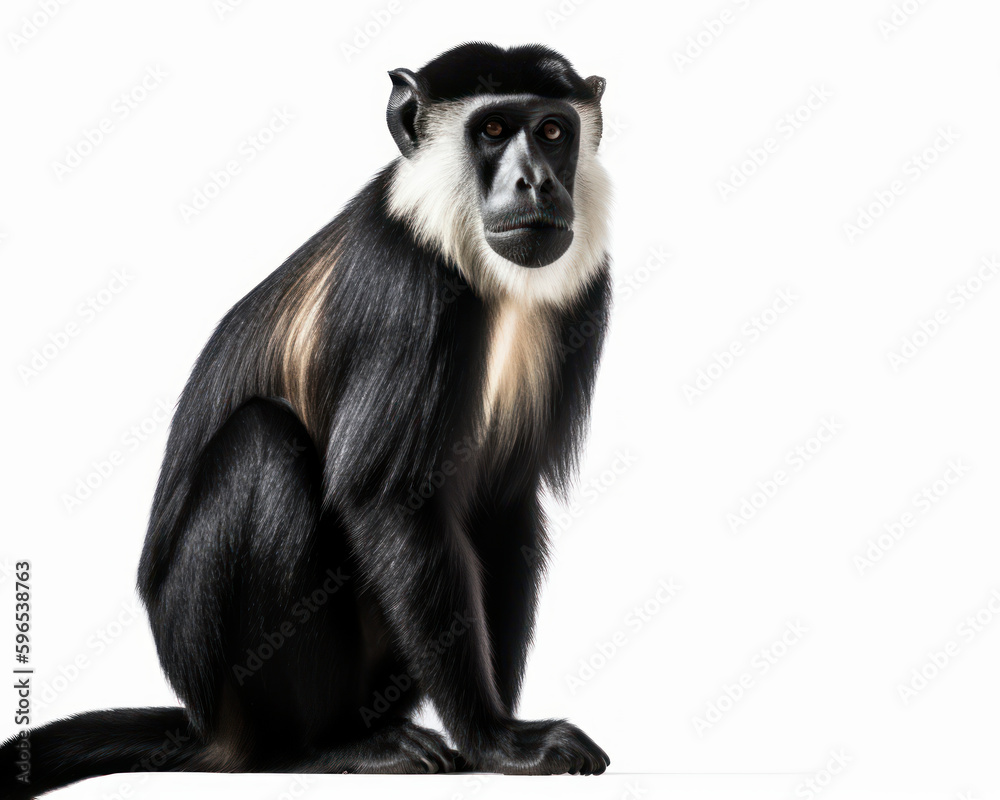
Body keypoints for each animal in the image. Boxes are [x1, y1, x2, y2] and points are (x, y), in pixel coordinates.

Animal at [2, 42, 613, 798]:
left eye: (554, 131)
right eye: (494, 131)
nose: (537, 183)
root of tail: (209, 725)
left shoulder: (587, 295)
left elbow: (502, 503)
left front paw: (496, 740)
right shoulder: (405, 285)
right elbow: (386, 498)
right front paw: (500, 742)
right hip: (215, 654)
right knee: (263, 446)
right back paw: (320, 749)